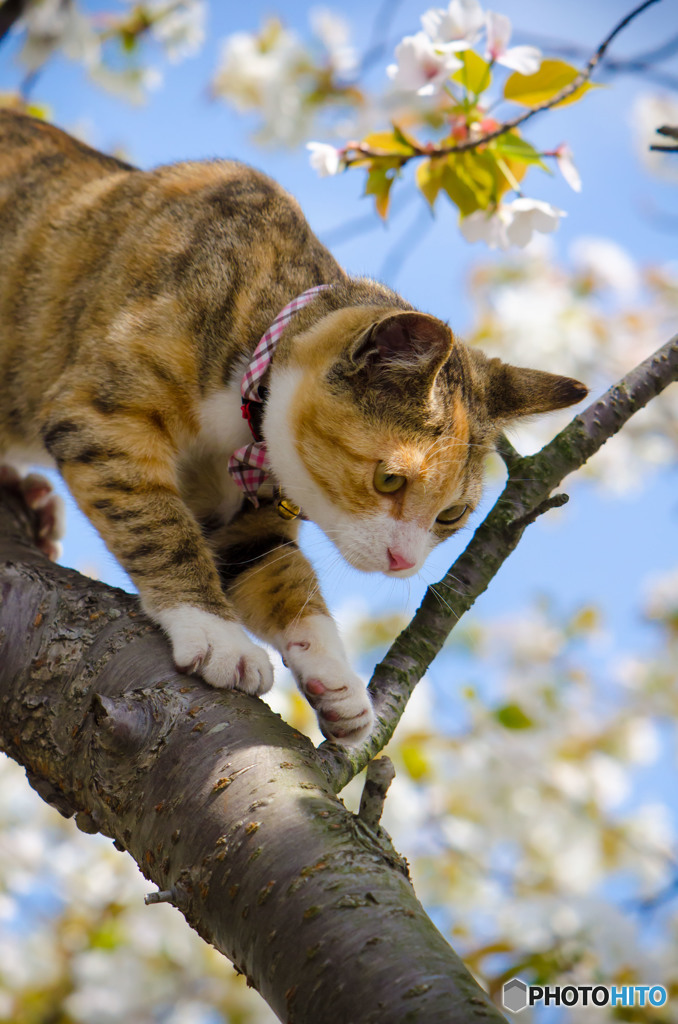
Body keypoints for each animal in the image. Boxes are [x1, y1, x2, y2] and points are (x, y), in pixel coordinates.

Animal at [0, 114, 589, 745]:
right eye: (389, 480)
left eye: (452, 515)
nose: (403, 561)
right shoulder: (98, 415)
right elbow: (158, 523)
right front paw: (218, 635)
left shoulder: (245, 512)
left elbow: (277, 569)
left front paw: (336, 678)